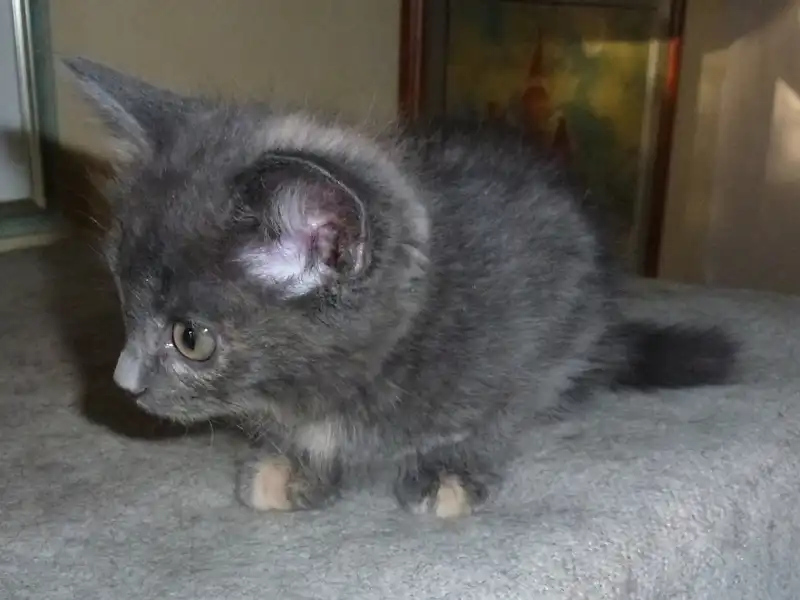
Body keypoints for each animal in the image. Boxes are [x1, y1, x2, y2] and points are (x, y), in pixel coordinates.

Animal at [63, 57, 737, 519]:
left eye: (191, 339)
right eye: (123, 300)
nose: (124, 380)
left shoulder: (553, 303)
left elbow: (507, 404)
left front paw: (453, 468)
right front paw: (296, 463)